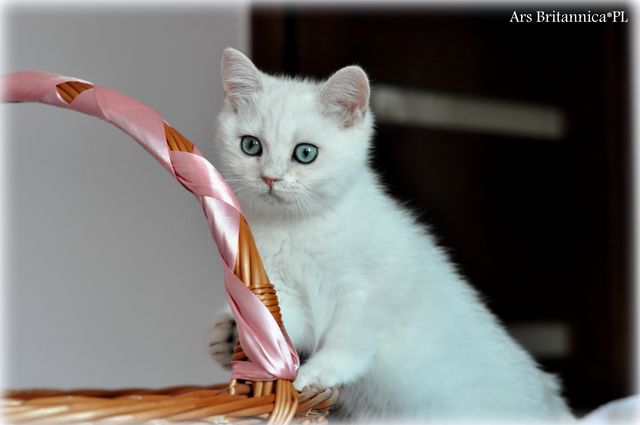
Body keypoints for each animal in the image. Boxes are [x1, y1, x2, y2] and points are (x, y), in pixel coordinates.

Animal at [207, 47, 574, 423]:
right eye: (251, 146)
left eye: (305, 153)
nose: (270, 178)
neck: (298, 228)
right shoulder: (284, 288)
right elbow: (284, 325)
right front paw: (242, 340)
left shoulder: (373, 286)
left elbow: (350, 336)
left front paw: (316, 373)